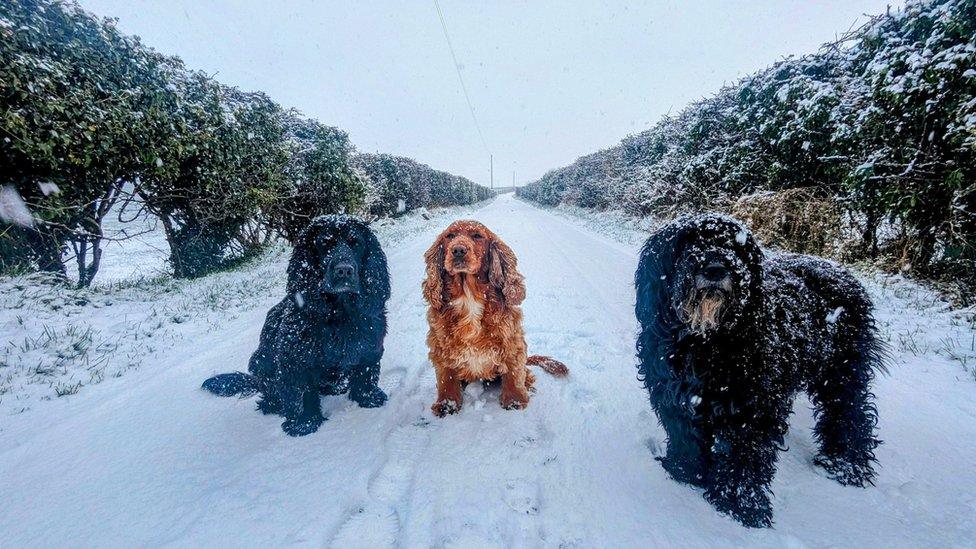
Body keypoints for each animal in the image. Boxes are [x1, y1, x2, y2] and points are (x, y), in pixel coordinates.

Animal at [203, 214, 392, 436]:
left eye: (356, 243)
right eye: (324, 243)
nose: (344, 270)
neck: (339, 313)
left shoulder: (370, 343)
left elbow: (366, 372)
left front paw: (369, 398)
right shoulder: (295, 359)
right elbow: (302, 391)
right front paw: (304, 423)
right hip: (260, 361)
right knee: (272, 395)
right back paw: (273, 405)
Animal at [632, 213, 884, 528]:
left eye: (735, 245)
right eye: (688, 241)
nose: (715, 269)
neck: (707, 342)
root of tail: (840, 271)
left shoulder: (754, 408)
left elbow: (746, 455)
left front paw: (741, 505)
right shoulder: (675, 395)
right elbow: (686, 436)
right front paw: (685, 473)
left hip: (841, 371)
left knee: (851, 413)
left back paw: (845, 465)